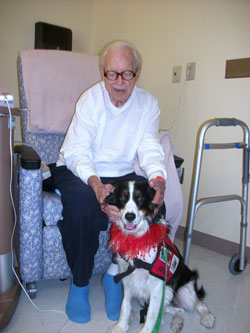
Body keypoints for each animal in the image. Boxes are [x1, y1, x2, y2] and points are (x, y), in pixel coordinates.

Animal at [105, 182, 215, 332]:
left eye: (140, 198)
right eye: (122, 197)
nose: (129, 216)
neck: (137, 237)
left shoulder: (157, 287)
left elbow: (151, 317)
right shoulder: (127, 279)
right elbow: (124, 306)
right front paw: (120, 327)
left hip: (183, 292)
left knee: (199, 304)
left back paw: (207, 318)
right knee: (178, 310)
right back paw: (177, 322)